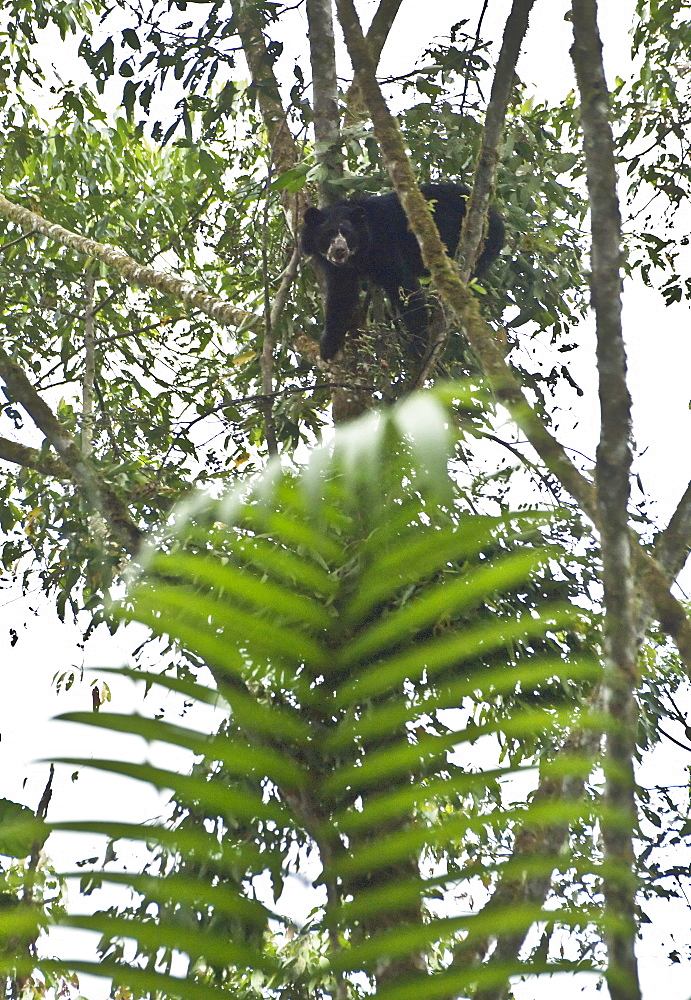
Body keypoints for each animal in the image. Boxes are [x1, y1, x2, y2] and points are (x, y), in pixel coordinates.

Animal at [300, 184, 506, 364]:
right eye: (328, 234)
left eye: (348, 234)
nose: (339, 250)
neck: (358, 255)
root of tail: (497, 216)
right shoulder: (338, 269)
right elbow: (341, 296)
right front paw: (328, 345)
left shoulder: (383, 246)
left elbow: (404, 285)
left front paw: (418, 345)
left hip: (480, 240)